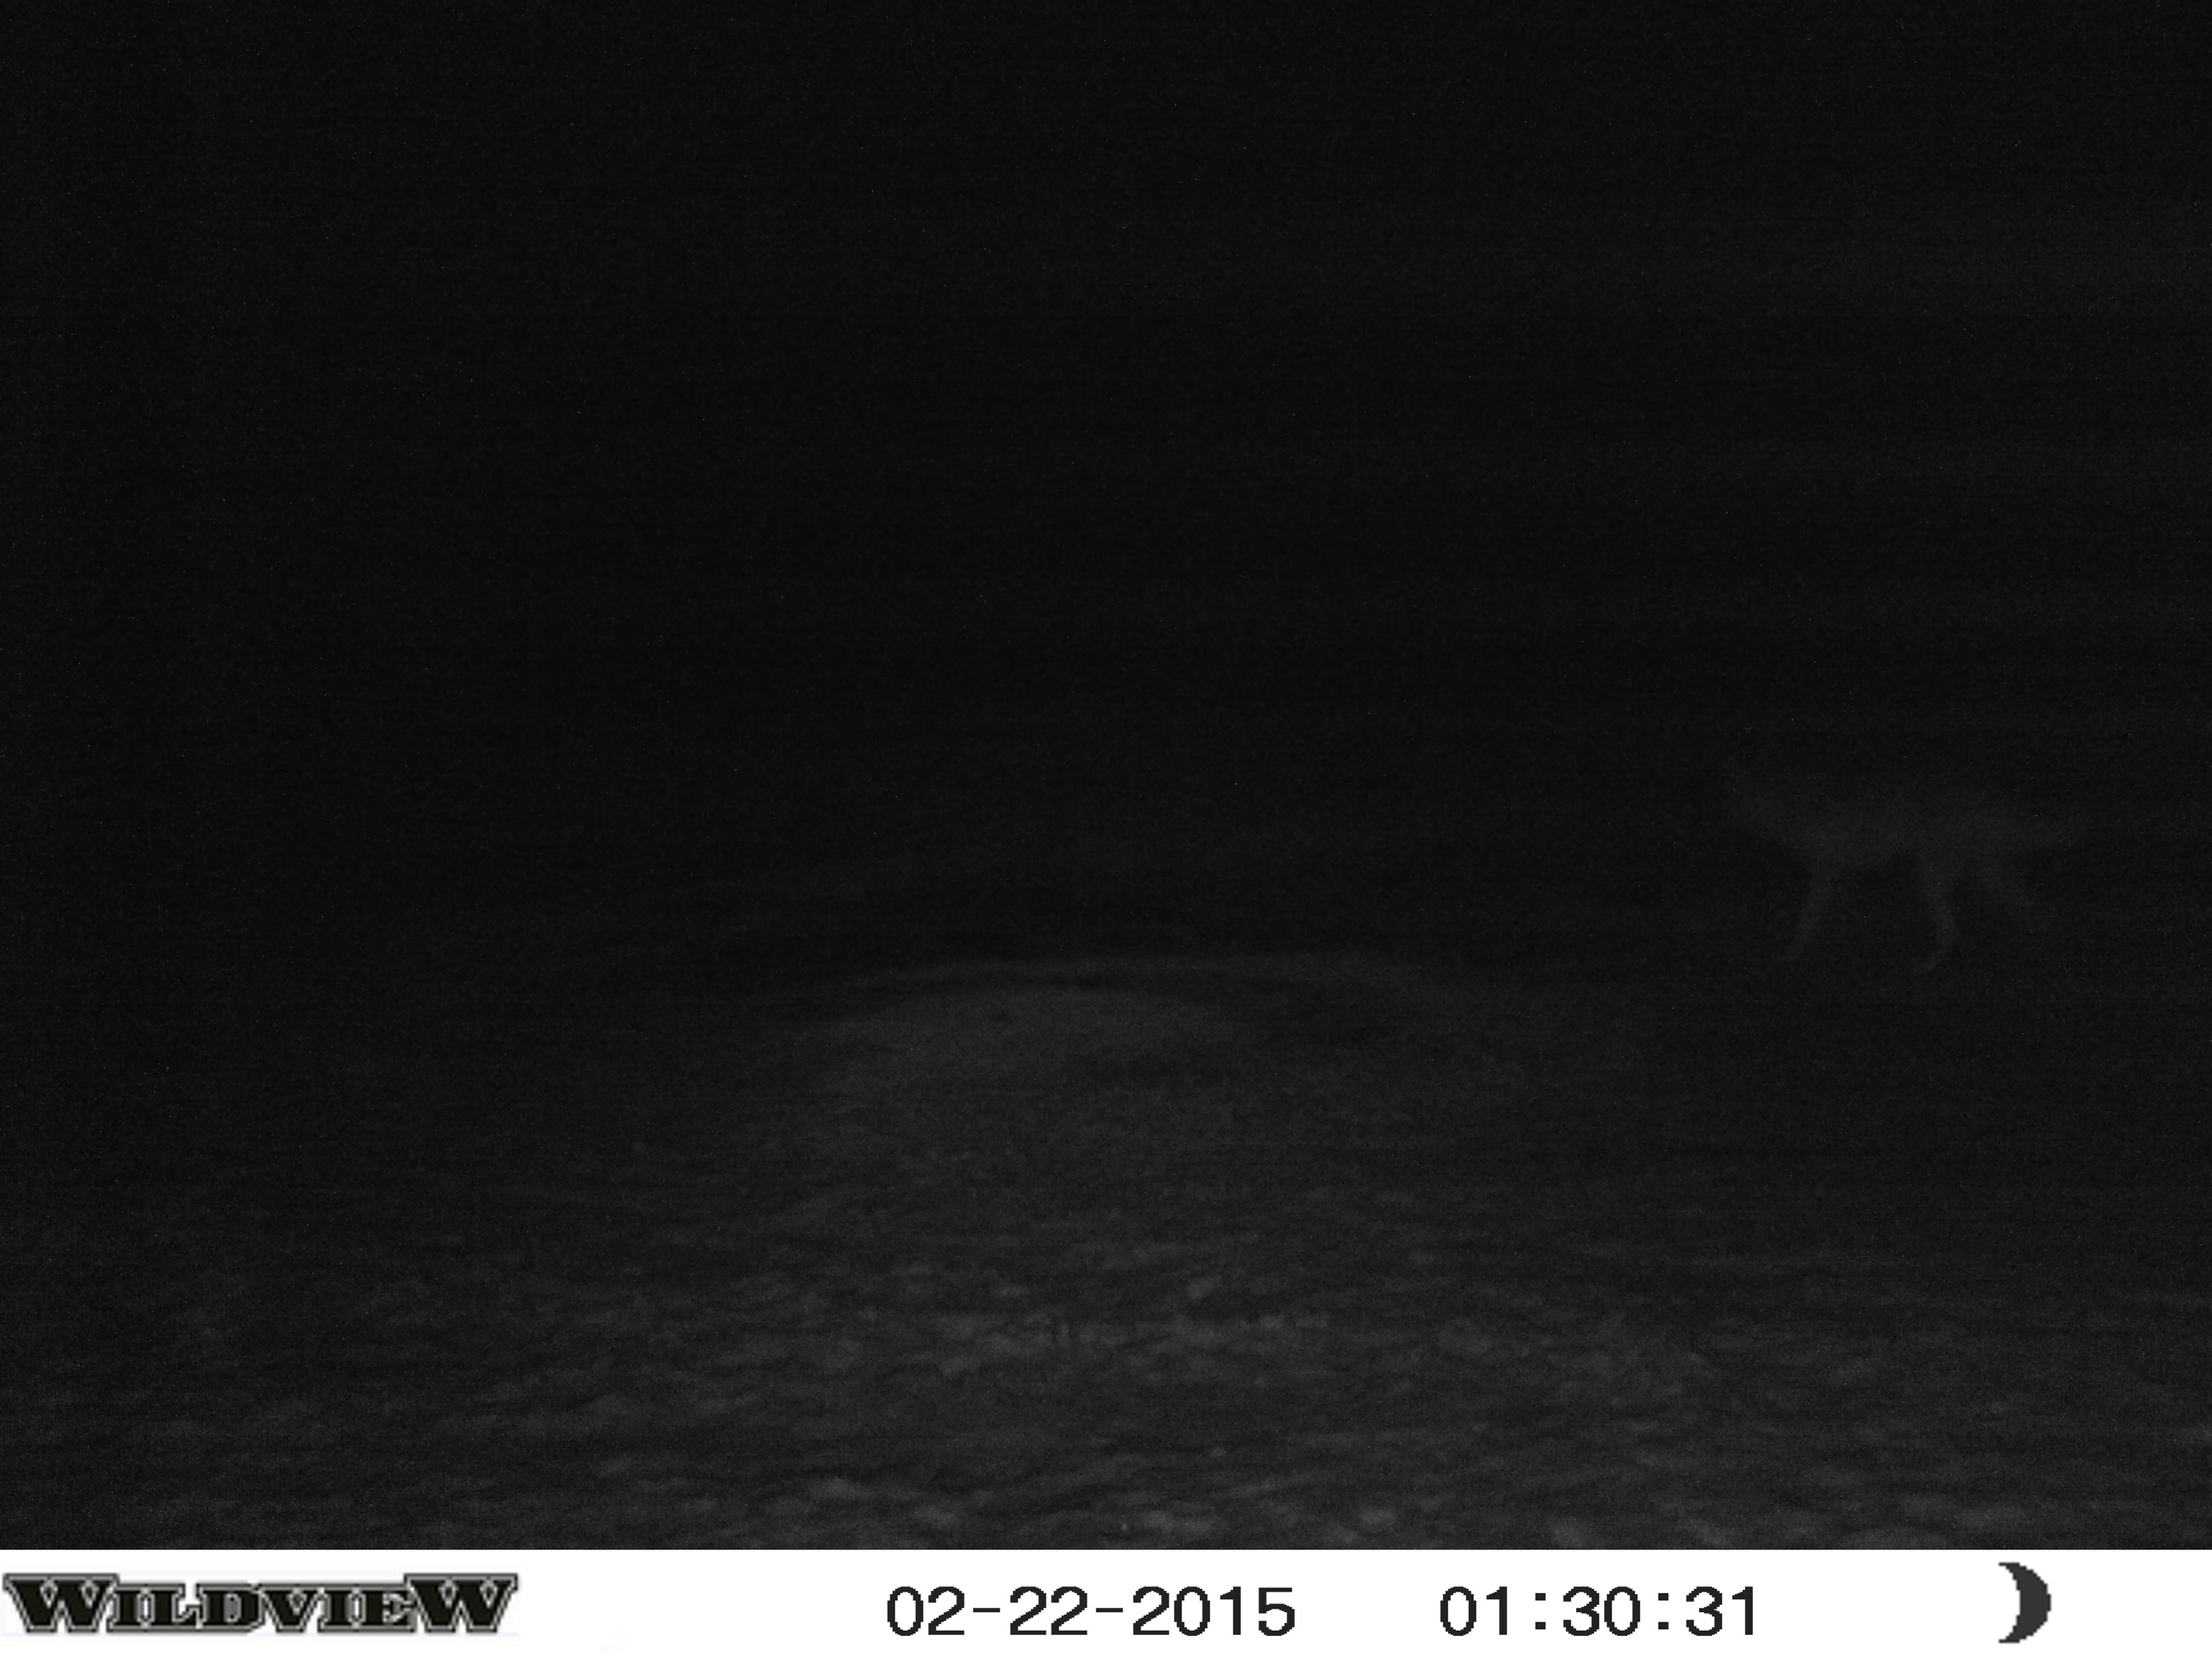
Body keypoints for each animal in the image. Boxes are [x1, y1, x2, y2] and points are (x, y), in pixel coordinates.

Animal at [1725, 763, 2082, 972]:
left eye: (1741, 796)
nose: (1726, 811)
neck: (1790, 806)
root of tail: (1979, 793)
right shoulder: (1839, 875)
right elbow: (1834, 917)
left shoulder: (1826, 871)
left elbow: (1806, 919)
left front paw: (1792, 952)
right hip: (1982, 872)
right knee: (2027, 902)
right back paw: (2044, 936)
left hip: (1932, 874)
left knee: (1952, 928)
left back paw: (1928, 964)